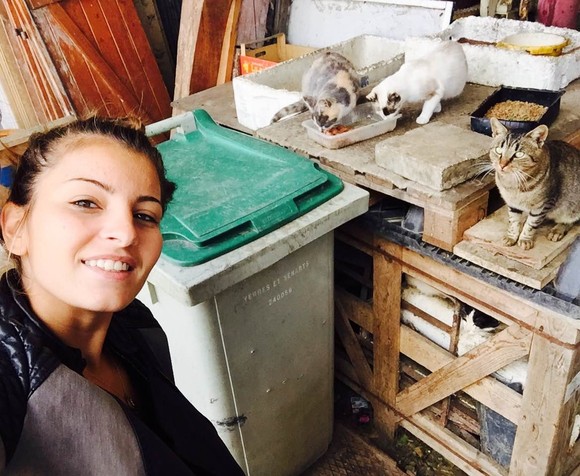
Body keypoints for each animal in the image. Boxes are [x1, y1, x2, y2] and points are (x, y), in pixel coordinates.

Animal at [489, 118, 580, 250]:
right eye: (498, 150)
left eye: (519, 154)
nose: (502, 164)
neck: (512, 184)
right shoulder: (512, 204)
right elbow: (513, 221)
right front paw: (512, 236)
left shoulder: (543, 205)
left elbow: (531, 224)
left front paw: (525, 239)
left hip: (571, 207)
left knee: (570, 221)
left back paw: (557, 230)